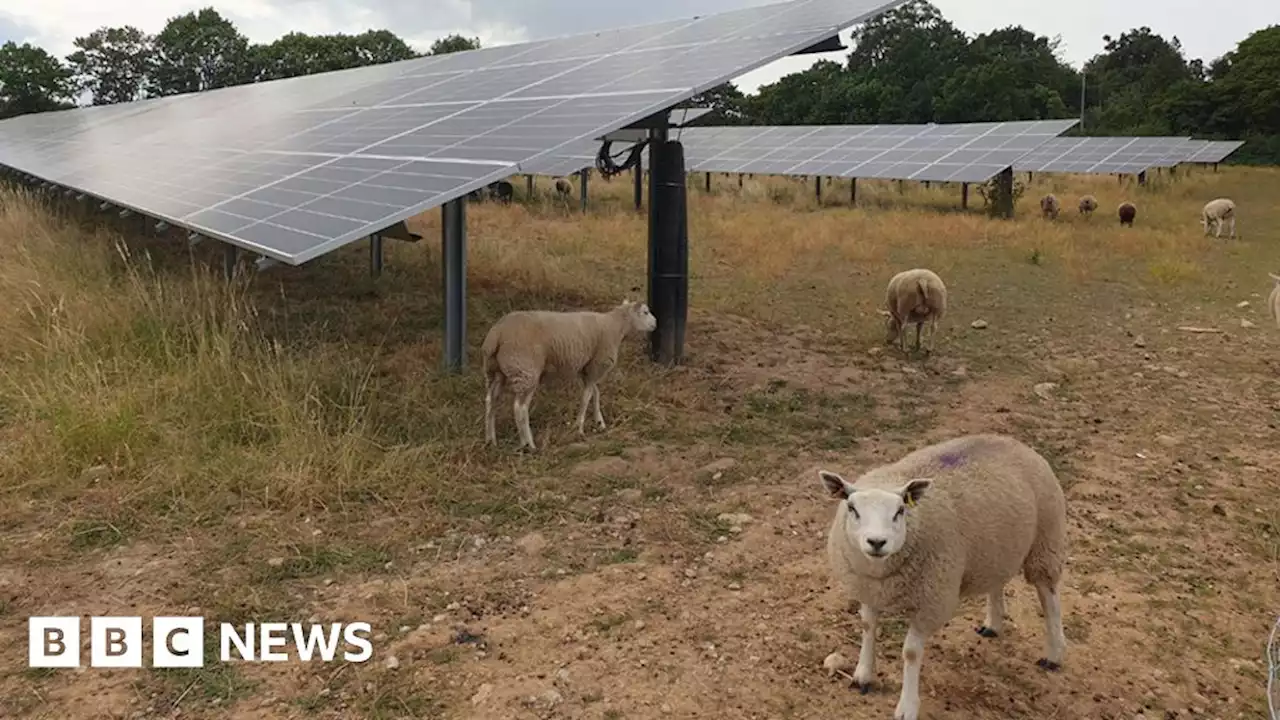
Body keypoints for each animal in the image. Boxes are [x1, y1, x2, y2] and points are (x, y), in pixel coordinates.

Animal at [481, 297, 660, 448]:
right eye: (645, 312)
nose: (655, 324)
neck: (614, 326)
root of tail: (496, 334)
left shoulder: (585, 368)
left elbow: (595, 393)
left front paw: (599, 423)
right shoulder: (596, 365)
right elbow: (587, 396)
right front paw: (579, 428)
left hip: (497, 371)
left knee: (491, 400)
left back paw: (491, 440)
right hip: (525, 370)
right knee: (520, 408)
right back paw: (529, 445)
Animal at [819, 430, 1070, 717]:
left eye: (900, 511)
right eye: (852, 508)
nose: (877, 542)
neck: (882, 575)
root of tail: (1012, 441)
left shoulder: (931, 602)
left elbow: (910, 653)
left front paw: (907, 707)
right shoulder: (869, 589)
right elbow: (868, 628)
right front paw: (862, 676)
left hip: (1046, 542)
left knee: (1049, 597)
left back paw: (1054, 654)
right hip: (996, 549)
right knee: (997, 582)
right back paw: (993, 624)